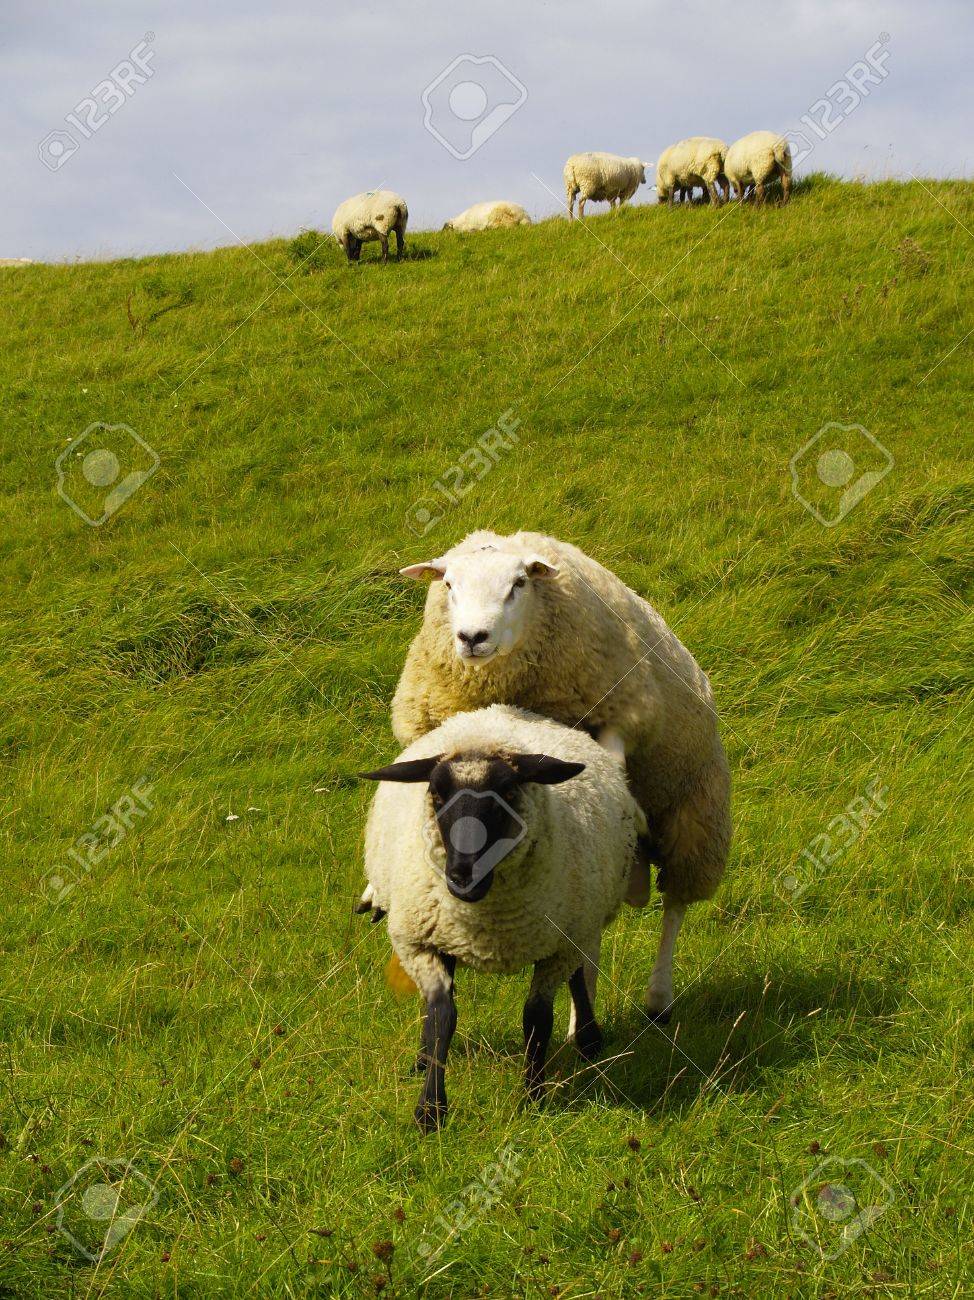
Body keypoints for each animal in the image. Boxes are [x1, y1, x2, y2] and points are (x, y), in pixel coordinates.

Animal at [361, 704, 644, 1131]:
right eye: (437, 793)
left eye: (508, 793)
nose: (463, 876)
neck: (487, 923)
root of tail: (497, 712)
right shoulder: (419, 943)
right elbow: (442, 1015)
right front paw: (430, 1109)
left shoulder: (557, 946)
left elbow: (537, 1018)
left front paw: (533, 1096)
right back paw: (421, 1058)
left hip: (580, 920)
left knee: (579, 974)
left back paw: (589, 1040)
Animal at [391, 530, 732, 1022]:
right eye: (449, 585)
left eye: (519, 584)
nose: (473, 637)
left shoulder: (623, 712)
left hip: (695, 816)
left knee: (673, 905)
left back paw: (657, 997)